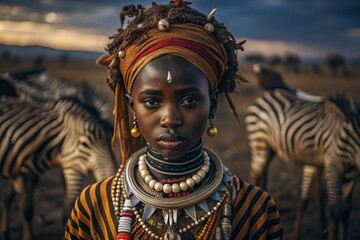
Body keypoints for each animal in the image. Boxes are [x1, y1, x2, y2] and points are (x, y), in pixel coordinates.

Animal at [245, 87, 360, 239]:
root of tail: (265, 95)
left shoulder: (352, 174)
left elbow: (346, 211)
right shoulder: (333, 166)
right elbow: (335, 211)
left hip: (270, 148)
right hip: (259, 143)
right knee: (253, 178)